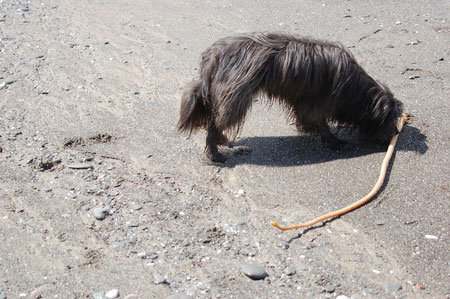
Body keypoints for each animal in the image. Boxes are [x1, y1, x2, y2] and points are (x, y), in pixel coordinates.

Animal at [178, 31, 402, 163]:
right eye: (390, 118)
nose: (397, 132)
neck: (355, 90)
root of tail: (213, 55)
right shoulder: (319, 101)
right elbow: (320, 122)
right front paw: (334, 141)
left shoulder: (303, 100)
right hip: (235, 94)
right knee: (214, 125)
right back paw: (216, 154)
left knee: (216, 122)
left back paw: (223, 141)